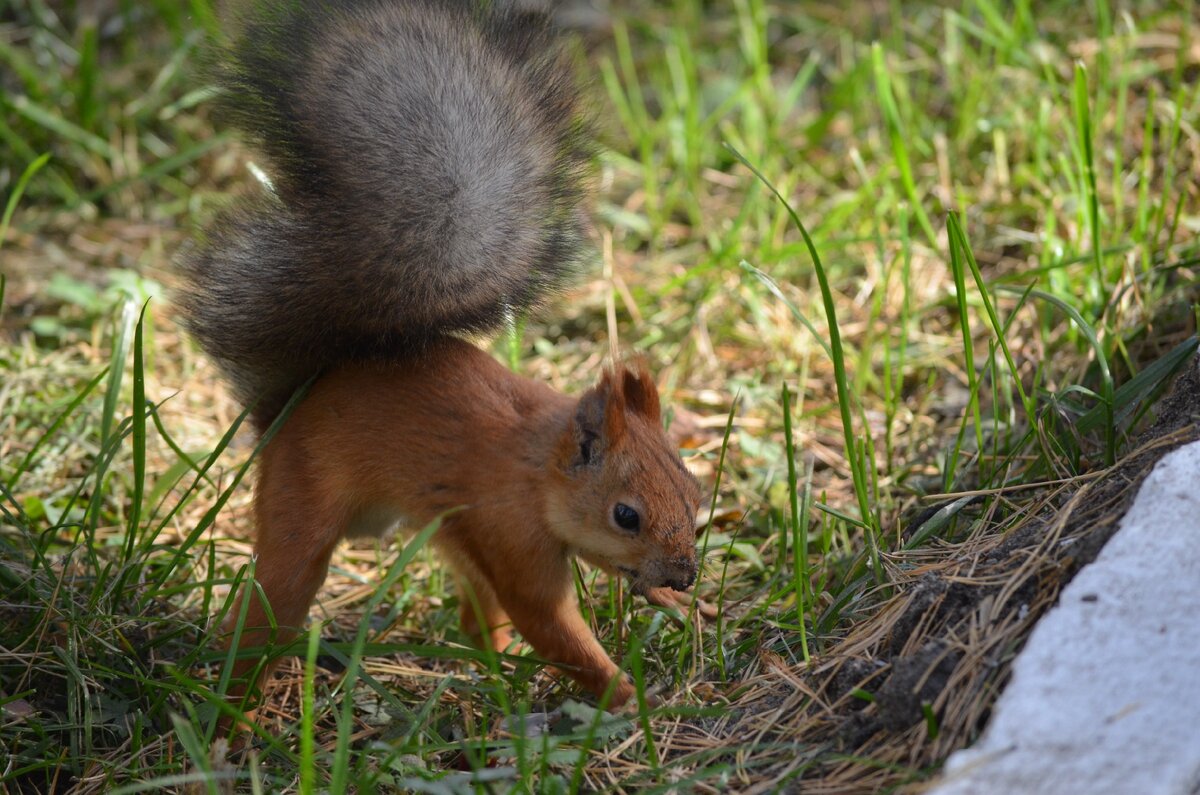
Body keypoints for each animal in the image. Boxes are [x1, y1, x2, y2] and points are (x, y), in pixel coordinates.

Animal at [178, 0, 710, 720]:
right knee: (276, 602)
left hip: (449, 531)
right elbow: (549, 623)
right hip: (305, 504)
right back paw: (232, 708)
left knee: (473, 612)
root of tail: (292, 406)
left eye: (694, 493)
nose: (684, 573)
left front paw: (672, 604)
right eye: (625, 515)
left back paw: (493, 667)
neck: (538, 467)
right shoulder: (512, 532)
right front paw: (627, 696)